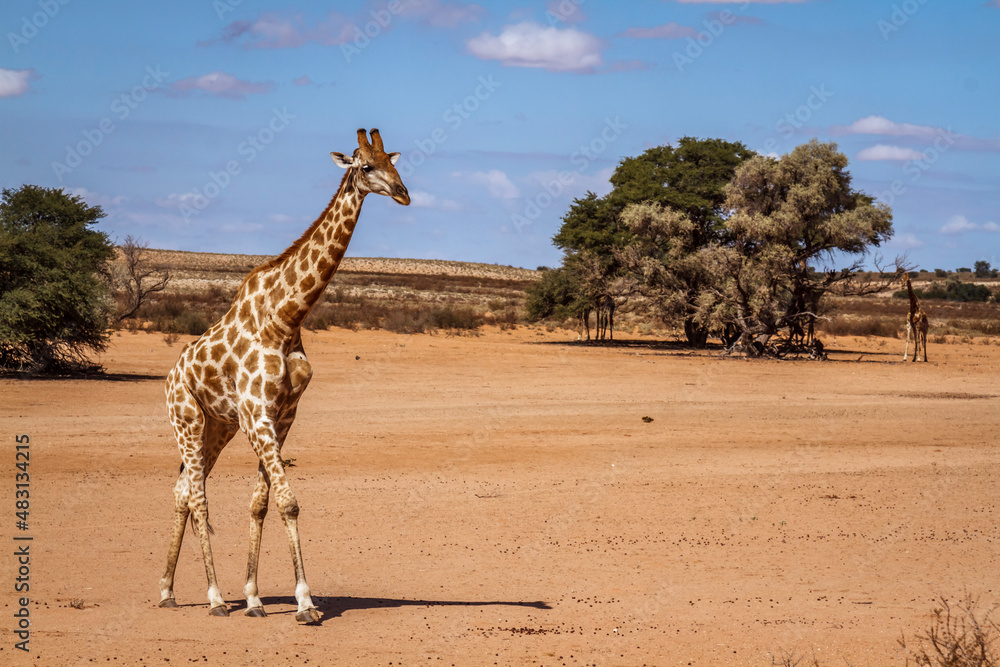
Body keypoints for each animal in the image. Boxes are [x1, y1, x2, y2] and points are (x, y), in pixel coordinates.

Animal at [158, 128, 409, 622]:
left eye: (393, 161)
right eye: (365, 165)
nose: (403, 193)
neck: (286, 318)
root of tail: (171, 376)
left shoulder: (282, 414)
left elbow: (261, 503)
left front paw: (255, 596)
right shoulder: (258, 415)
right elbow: (288, 503)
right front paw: (305, 602)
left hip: (218, 426)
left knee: (181, 491)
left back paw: (167, 590)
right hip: (187, 420)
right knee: (196, 496)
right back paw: (214, 598)